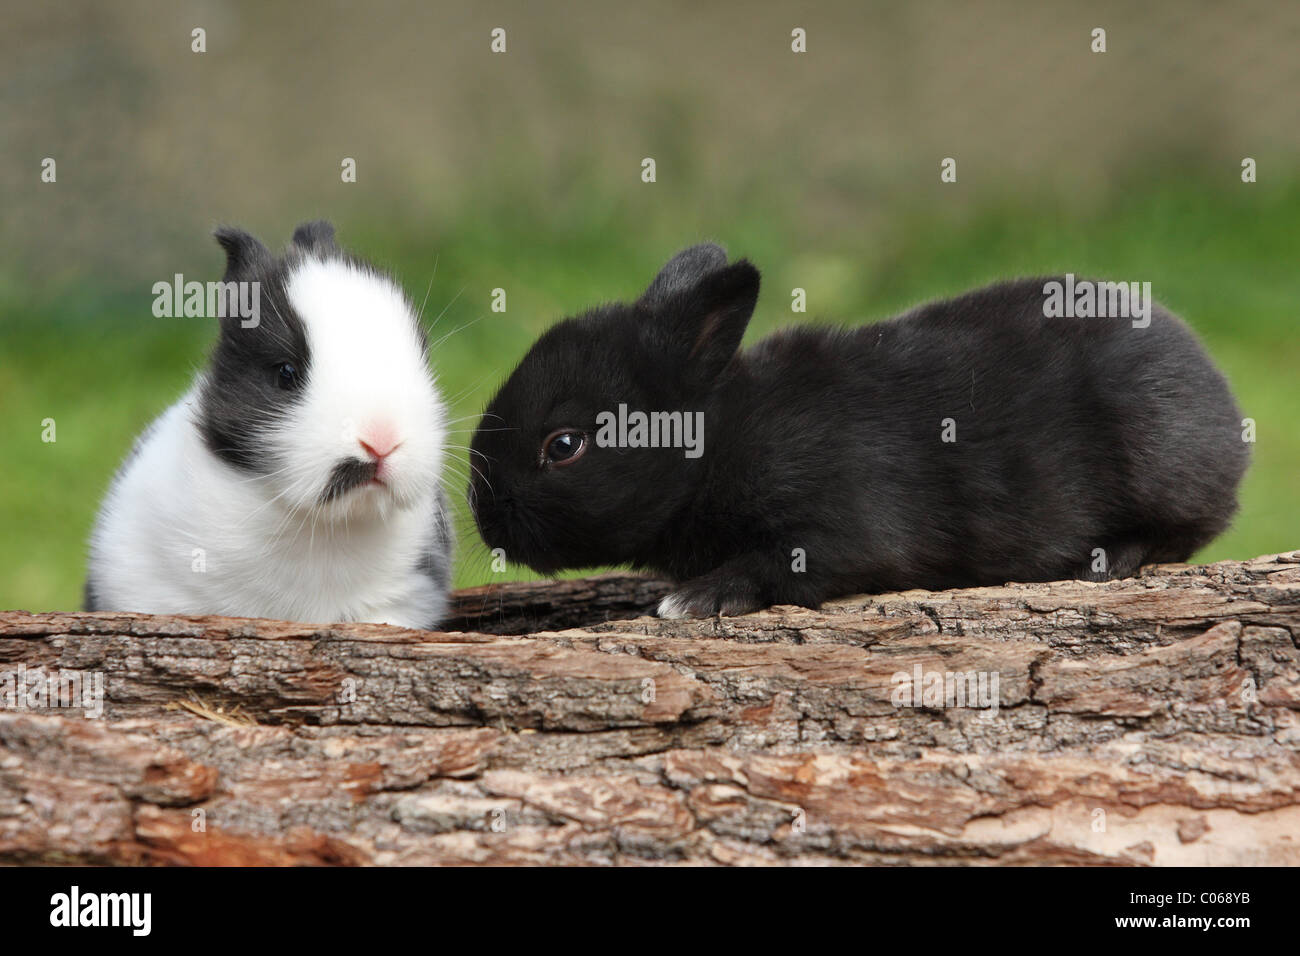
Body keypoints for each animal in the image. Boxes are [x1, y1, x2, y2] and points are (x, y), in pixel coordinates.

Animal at [468, 243, 1250, 619]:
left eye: (563, 446)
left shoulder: (836, 526)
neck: (717, 444)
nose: (483, 511)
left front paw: (697, 600)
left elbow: (782, 565)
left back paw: (1112, 558)